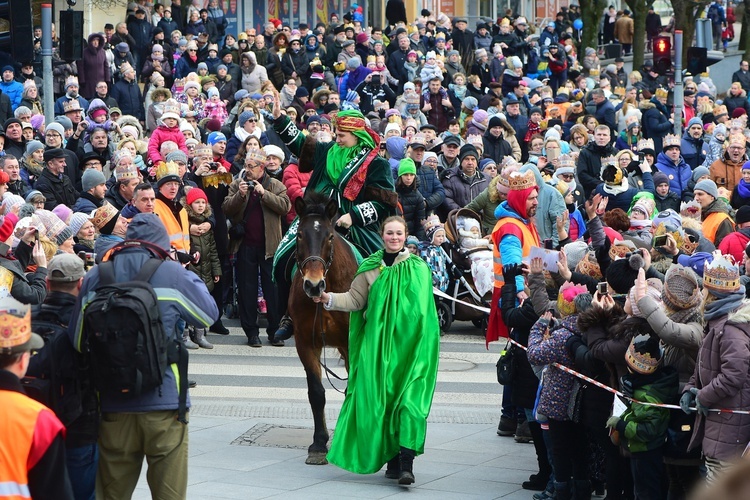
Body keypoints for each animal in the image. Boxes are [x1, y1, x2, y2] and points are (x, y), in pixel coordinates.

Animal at [288, 191, 358, 464]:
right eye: (299, 235)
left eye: (329, 236)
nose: (314, 285)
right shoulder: (305, 342)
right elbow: (316, 393)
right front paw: (318, 443)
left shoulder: (351, 343)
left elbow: (352, 388)